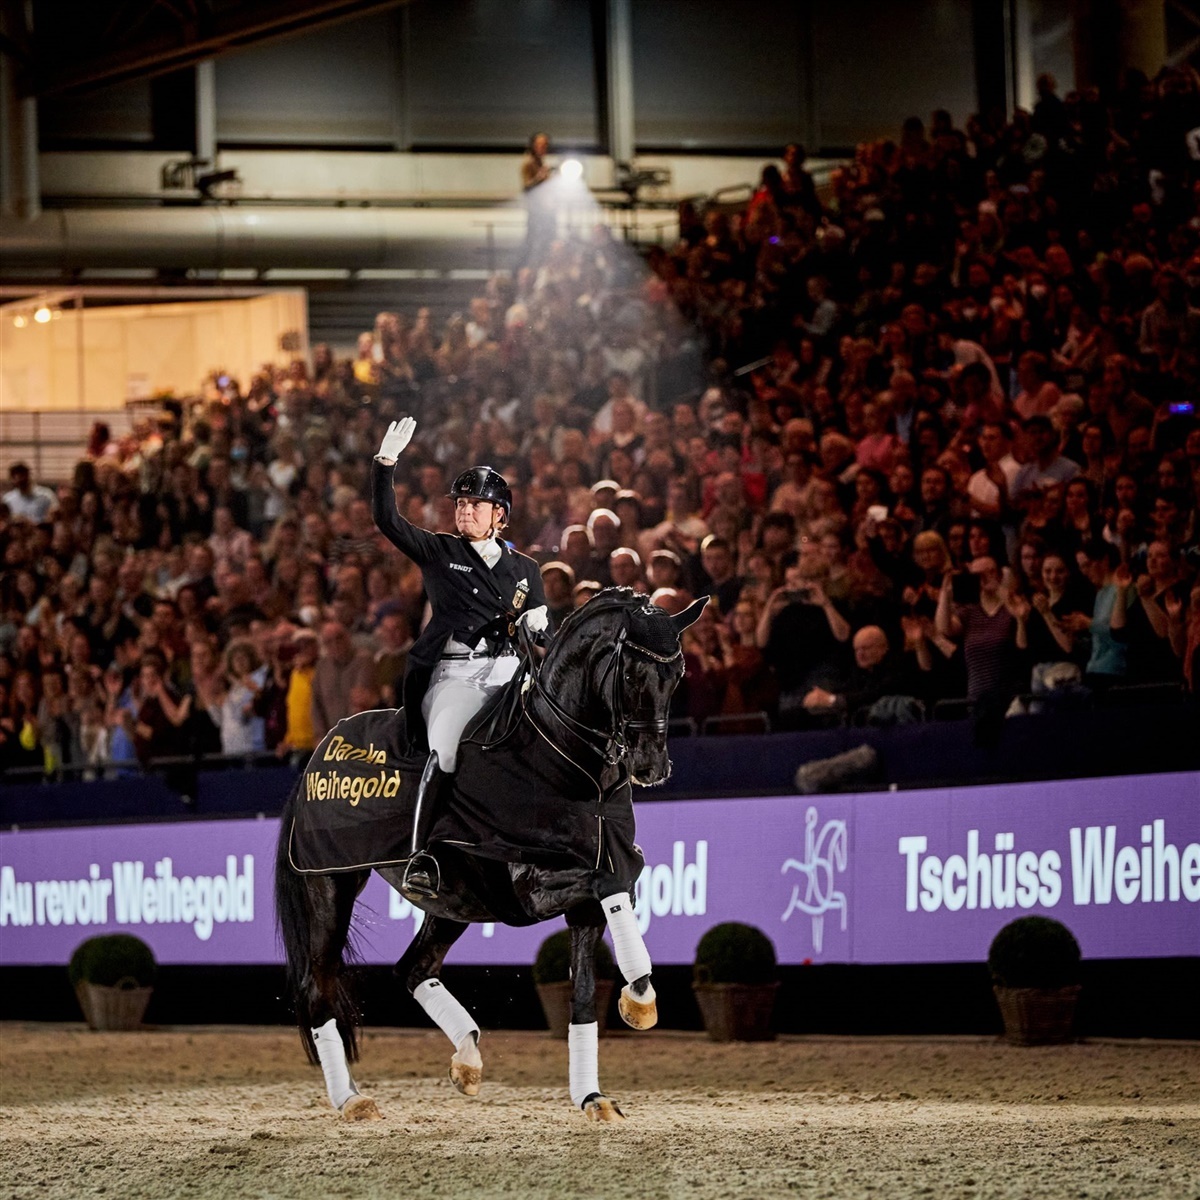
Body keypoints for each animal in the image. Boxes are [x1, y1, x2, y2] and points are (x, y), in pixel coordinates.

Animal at [274, 588, 707, 1122]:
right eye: (629, 675)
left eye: (679, 673)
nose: (651, 767)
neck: (568, 764)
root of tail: (317, 751)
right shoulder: (533, 887)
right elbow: (606, 881)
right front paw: (641, 1002)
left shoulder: (590, 900)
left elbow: (586, 991)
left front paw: (594, 1092)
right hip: (329, 884)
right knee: (319, 985)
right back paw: (352, 1099)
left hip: (454, 902)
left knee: (413, 969)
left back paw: (467, 1058)